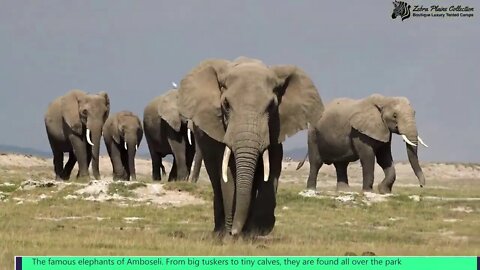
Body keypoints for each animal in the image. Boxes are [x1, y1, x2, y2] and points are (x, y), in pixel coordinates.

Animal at [178, 57, 324, 236]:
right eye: (226, 104)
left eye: (272, 106)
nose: (234, 232)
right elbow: (227, 173)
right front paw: (231, 235)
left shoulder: (275, 128)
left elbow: (272, 166)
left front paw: (256, 230)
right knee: (215, 177)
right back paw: (219, 232)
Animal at [296, 94, 428, 193]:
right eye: (395, 116)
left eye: (414, 113)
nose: (421, 186)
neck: (384, 100)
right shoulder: (359, 132)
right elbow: (368, 157)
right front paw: (368, 191)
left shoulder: (384, 130)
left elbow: (384, 158)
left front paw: (383, 191)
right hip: (313, 134)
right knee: (316, 162)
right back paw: (311, 190)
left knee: (341, 164)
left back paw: (344, 191)